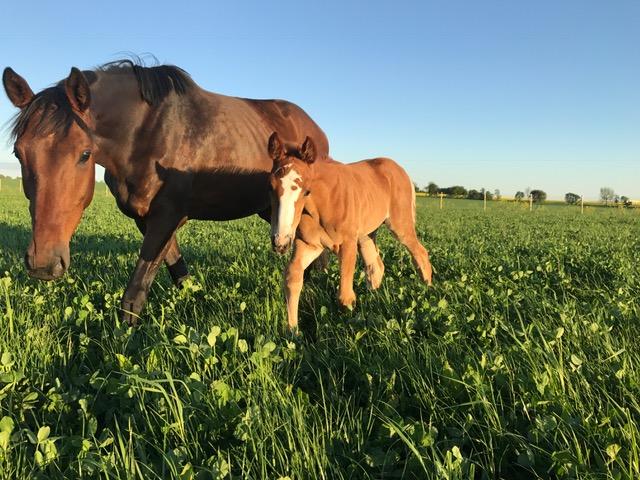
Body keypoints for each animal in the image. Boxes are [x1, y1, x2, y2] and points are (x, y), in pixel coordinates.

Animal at [6, 60, 330, 322]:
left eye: (85, 154)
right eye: (18, 153)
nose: (44, 263)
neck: (147, 133)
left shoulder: (167, 215)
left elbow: (134, 295)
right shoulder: (147, 218)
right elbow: (178, 271)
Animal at [268, 133, 432, 332]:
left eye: (307, 191)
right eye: (270, 187)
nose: (280, 243)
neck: (323, 205)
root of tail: (401, 170)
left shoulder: (347, 244)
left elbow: (345, 296)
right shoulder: (309, 245)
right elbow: (293, 278)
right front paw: (293, 331)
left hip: (400, 226)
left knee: (420, 253)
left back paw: (427, 291)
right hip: (366, 235)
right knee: (375, 266)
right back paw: (373, 301)